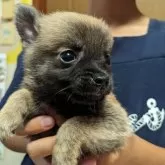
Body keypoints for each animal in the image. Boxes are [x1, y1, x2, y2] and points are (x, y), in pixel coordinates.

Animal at [0, 3, 131, 165]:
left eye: (107, 59)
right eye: (67, 56)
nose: (102, 79)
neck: (64, 101)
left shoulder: (116, 121)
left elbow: (76, 122)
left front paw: (63, 153)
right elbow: (21, 94)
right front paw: (6, 115)